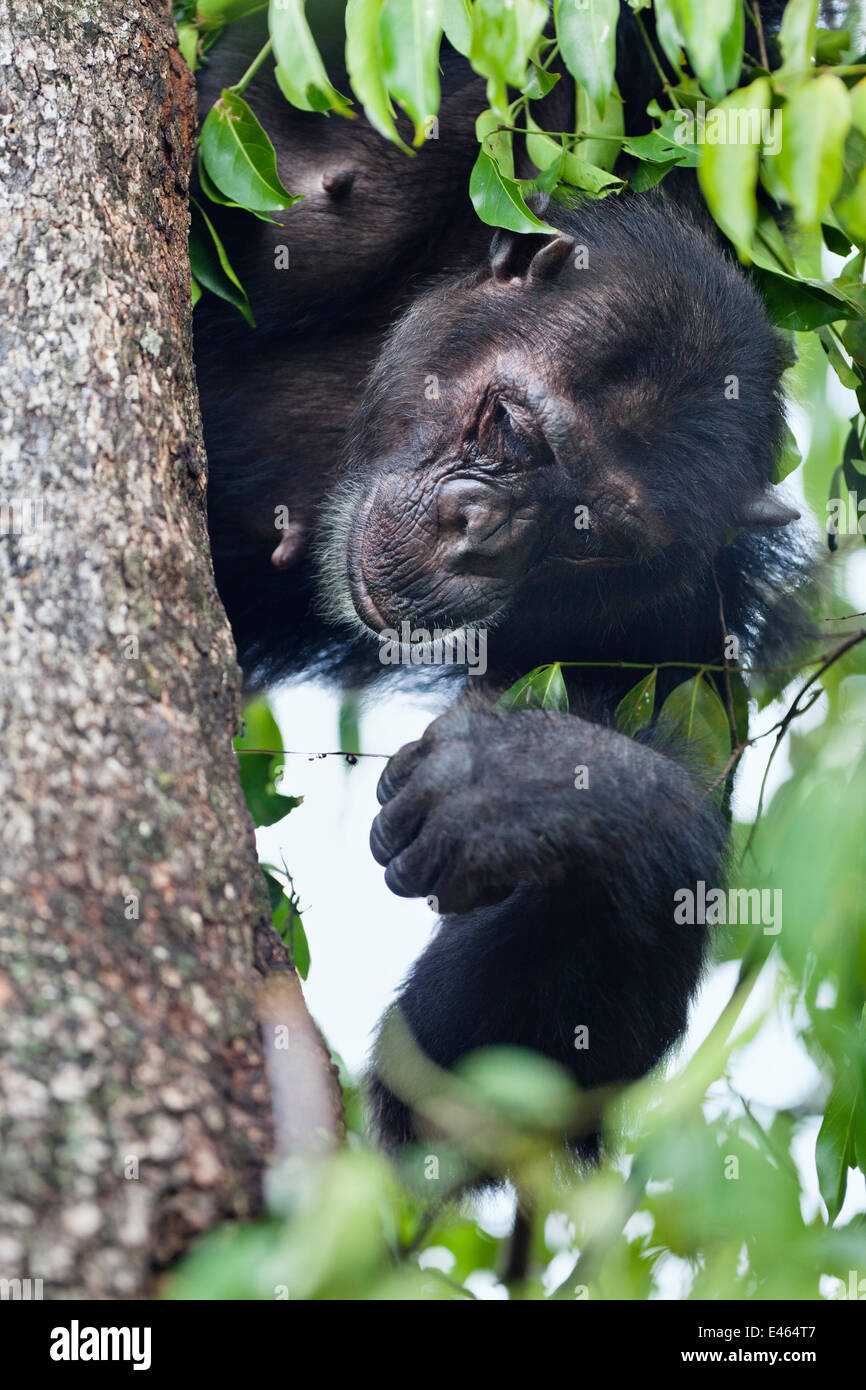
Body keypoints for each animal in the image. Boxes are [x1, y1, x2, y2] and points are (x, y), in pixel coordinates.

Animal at [191, 8, 817, 1162]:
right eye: (510, 429)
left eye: (586, 535)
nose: (481, 533)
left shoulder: (665, 624)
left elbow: (487, 1078)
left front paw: (539, 788)